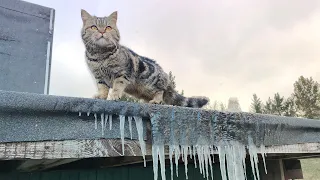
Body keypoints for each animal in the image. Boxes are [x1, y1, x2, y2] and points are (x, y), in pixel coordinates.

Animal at [80, 9, 210, 108]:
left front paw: (115, 95)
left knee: (161, 92)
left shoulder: (122, 73)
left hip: (150, 85)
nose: (102, 31)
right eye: (94, 27)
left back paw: (156, 100)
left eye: (108, 28)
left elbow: (117, 86)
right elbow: (102, 88)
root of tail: (166, 77)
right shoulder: (99, 77)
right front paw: (101, 96)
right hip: (141, 92)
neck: (100, 56)